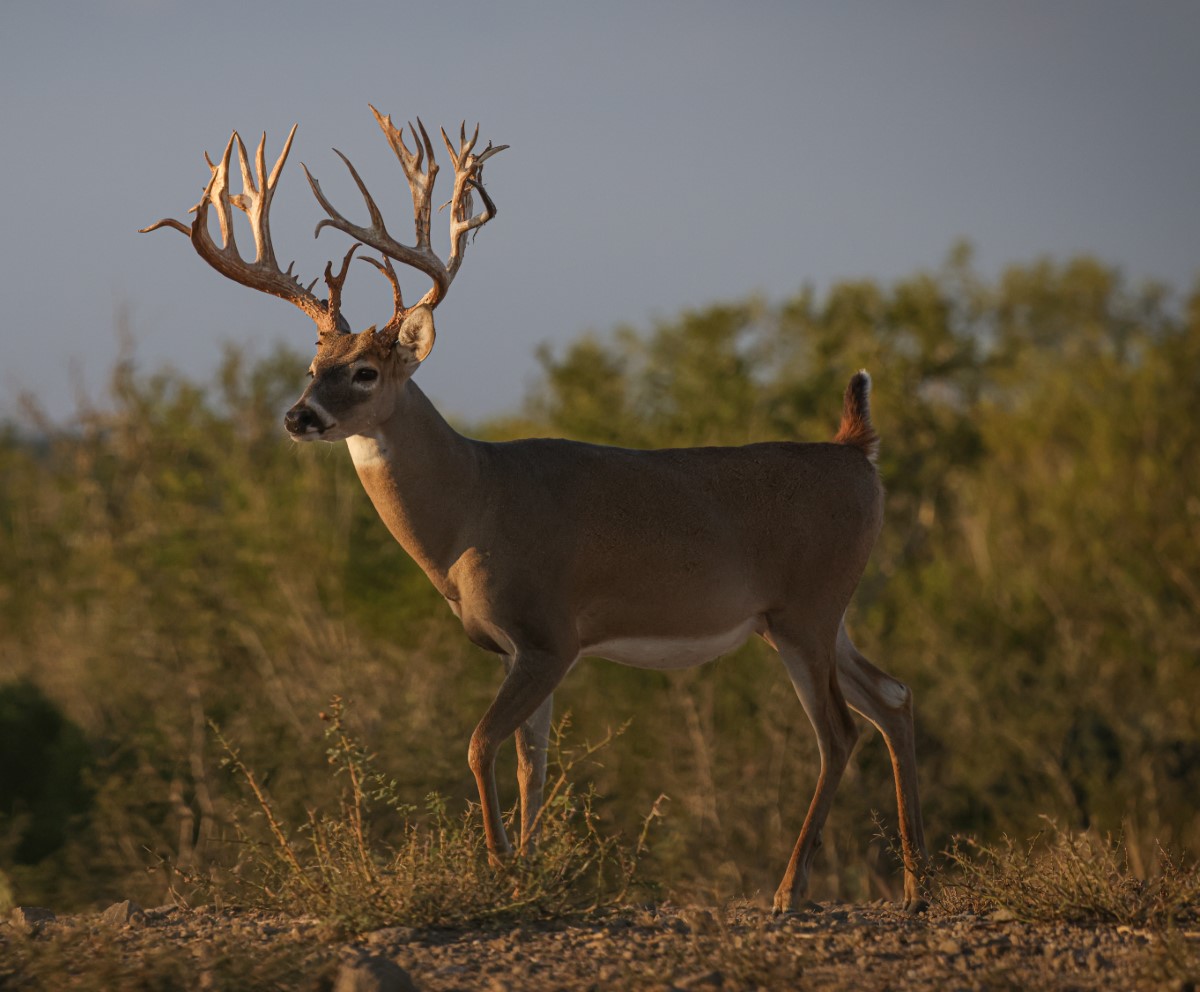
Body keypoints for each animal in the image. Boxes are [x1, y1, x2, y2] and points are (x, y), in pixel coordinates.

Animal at [142, 105, 928, 914]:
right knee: (894, 697)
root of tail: (856, 451)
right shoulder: (519, 648)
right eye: (311, 367)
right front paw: (531, 870)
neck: (473, 508)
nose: (299, 417)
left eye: (363, 372)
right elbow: (532, 763)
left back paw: (790, 888)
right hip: (818, 614)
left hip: (806, 609)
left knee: (840, 732)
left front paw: (497, 869)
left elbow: (479, 744)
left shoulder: (550, 632)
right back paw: (914, 885)